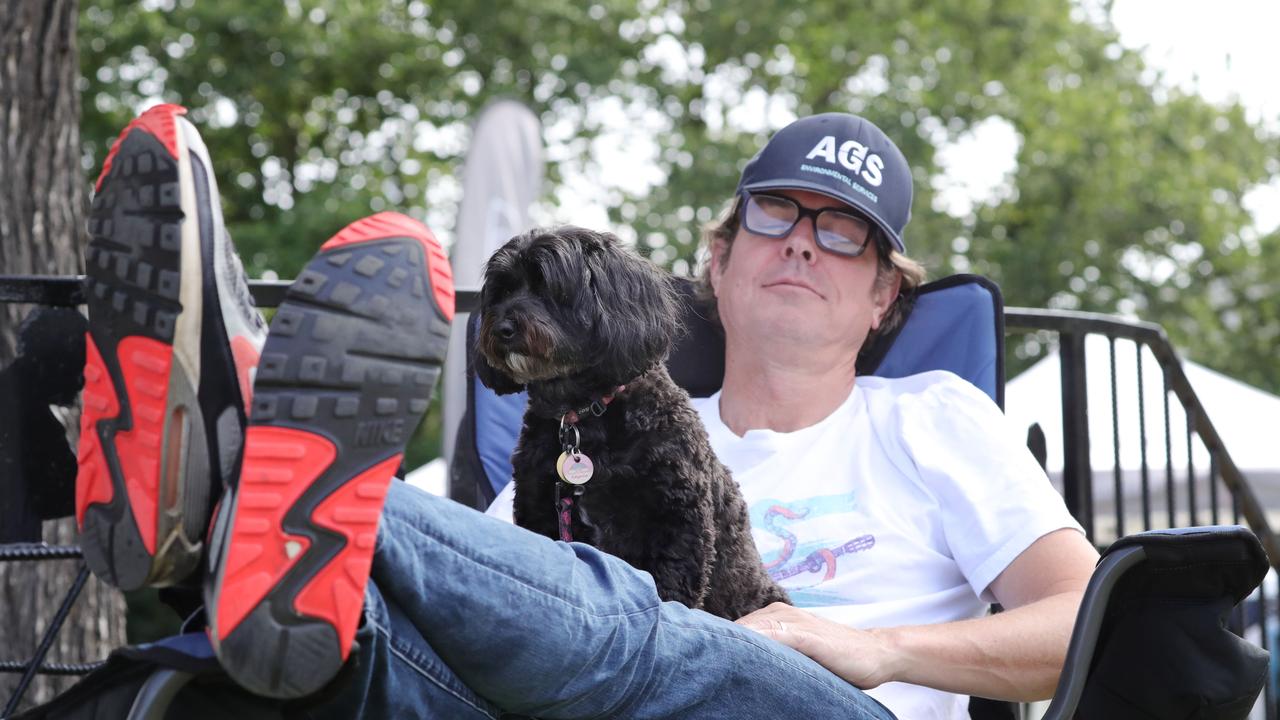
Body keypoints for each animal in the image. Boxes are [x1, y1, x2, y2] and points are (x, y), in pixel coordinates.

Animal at [476, 224, 783, 617]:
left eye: (547, 287)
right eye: (502, 291)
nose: (502, 328)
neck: (584, 415)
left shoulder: (677, 518)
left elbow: (671, 588)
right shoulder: (540, 508)